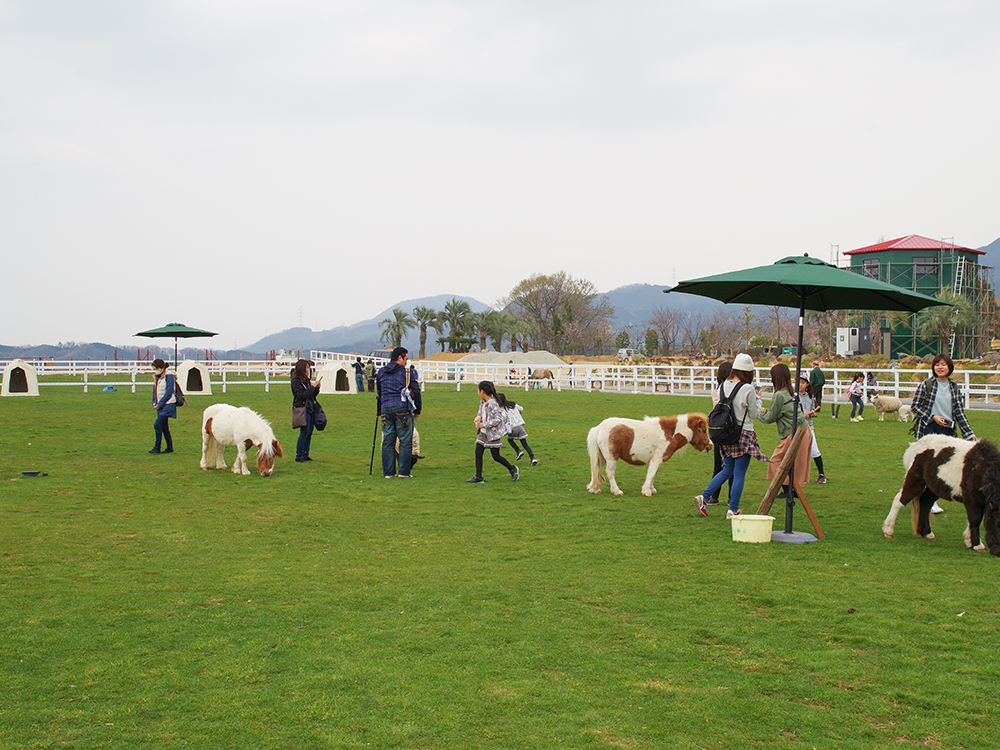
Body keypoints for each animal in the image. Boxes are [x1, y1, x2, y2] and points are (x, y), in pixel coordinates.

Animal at [584, 414, 712, 496]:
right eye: (703, 431)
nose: (709, 446)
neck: (669, 434)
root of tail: (599, 427)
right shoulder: (656, 459)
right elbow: (651, 474)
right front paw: (646, 491)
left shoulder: (657, 460)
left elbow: (653, 474)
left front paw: (651, 489)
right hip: (611, 458)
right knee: (609, 472)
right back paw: (616, 491)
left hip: (601, 457)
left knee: (596, 469)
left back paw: (594, 489)